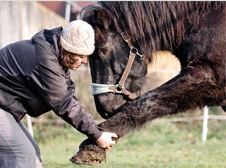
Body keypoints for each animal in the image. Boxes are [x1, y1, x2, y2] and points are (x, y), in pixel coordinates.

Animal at [70, 0, 226, 164]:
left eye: (103, 50)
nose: (104, 108)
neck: (204, 19)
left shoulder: (207, 77)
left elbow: (144, 103)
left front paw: (92, 146)